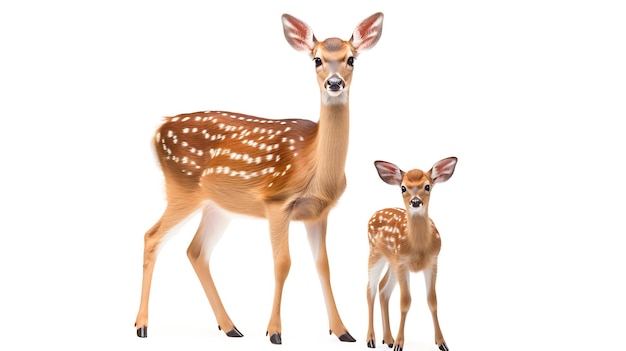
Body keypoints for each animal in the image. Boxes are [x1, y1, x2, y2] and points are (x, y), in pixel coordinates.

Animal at [134, 12, 382, 346]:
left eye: (351, 59)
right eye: (316, 59)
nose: (334, 83)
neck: (313, 165)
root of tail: (158, 130)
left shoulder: (318, 213)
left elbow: (324, 266)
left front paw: (342, 331)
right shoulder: (276, 202)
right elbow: (283, 263)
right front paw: (274, 331)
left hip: (217, 207)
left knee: (196, 251)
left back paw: (230, 327)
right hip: (181, 188)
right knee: (152, 236)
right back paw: (142, 326)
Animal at [364, 158, 456, 351]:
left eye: (427, 186)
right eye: (403, 187)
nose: (415, 202)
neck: (418, 248)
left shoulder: (433, 262)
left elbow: (432, 301)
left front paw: (442, 342)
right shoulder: (403, 263)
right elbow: (405, 302)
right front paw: (400, 344)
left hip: (392, 261)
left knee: (383, 289)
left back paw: (388, 339)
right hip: (375, 253)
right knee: (370, 290)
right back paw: (371, 339)